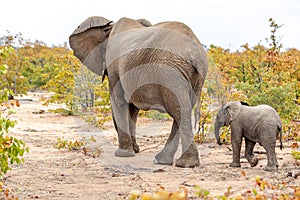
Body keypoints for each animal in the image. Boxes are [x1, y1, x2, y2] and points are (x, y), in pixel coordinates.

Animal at [69, 16, 207, 167]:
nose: (135, 148)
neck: (109, 28)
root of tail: (195, 52)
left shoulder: (114, 64)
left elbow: (118, 101)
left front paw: (123, 154)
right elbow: (132, 109)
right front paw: (134, 150)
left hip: (170, 72)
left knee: (179, 109)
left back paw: (184, 163)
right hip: (192, 76)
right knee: (182, 110)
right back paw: (167, 161)